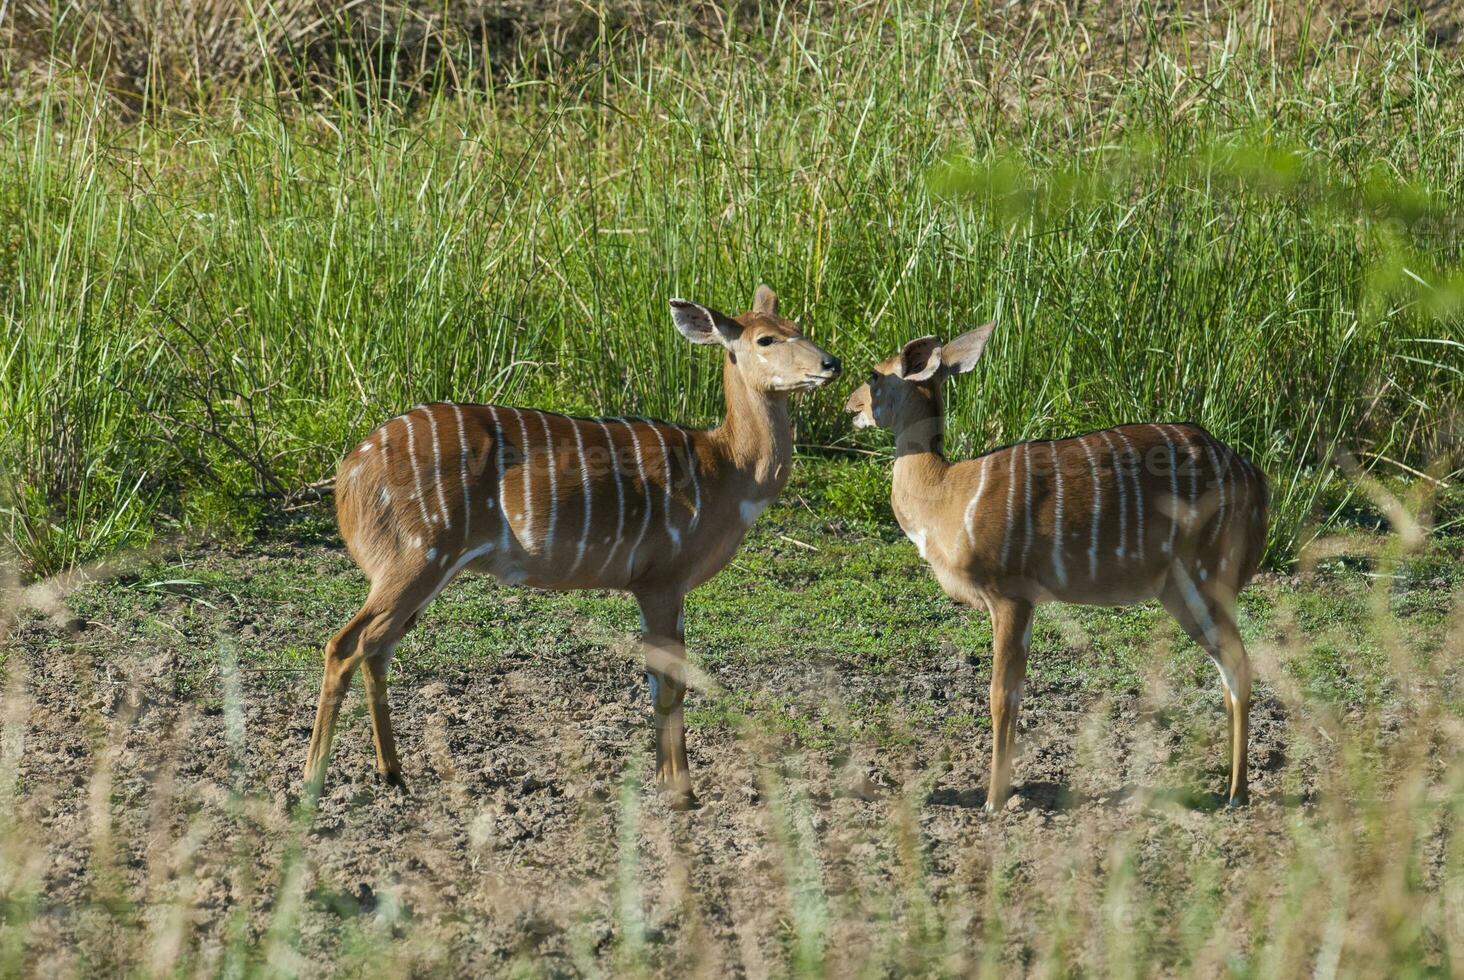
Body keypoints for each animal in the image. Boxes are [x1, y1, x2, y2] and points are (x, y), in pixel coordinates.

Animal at [303, 287, 843, 808]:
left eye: (797, 325)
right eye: (765, 339)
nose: (831, 363)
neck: (726, 470)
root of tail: (349, 476)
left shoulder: (656, 587)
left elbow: (659, 678)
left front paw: (669, 784)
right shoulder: (663, 579)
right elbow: (670, 682)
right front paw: (681, 794)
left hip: (420, 570)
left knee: (377, 649)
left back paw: (393, 774)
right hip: (416, 558)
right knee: (345, 644)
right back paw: (312, 784)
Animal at [849, 325, 1270, 808]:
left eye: (874, 375)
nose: (851, 407)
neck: (946, 496)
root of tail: (1257, 480)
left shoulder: (1009, 593)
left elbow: (1001, 694)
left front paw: (993, 801)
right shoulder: (1024, 601)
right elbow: (1016, 689)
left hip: (1207, 573)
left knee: (1240, 663)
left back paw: (1237, 793)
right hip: (1179, 589)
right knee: (1227, 667)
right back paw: (1229, 787)